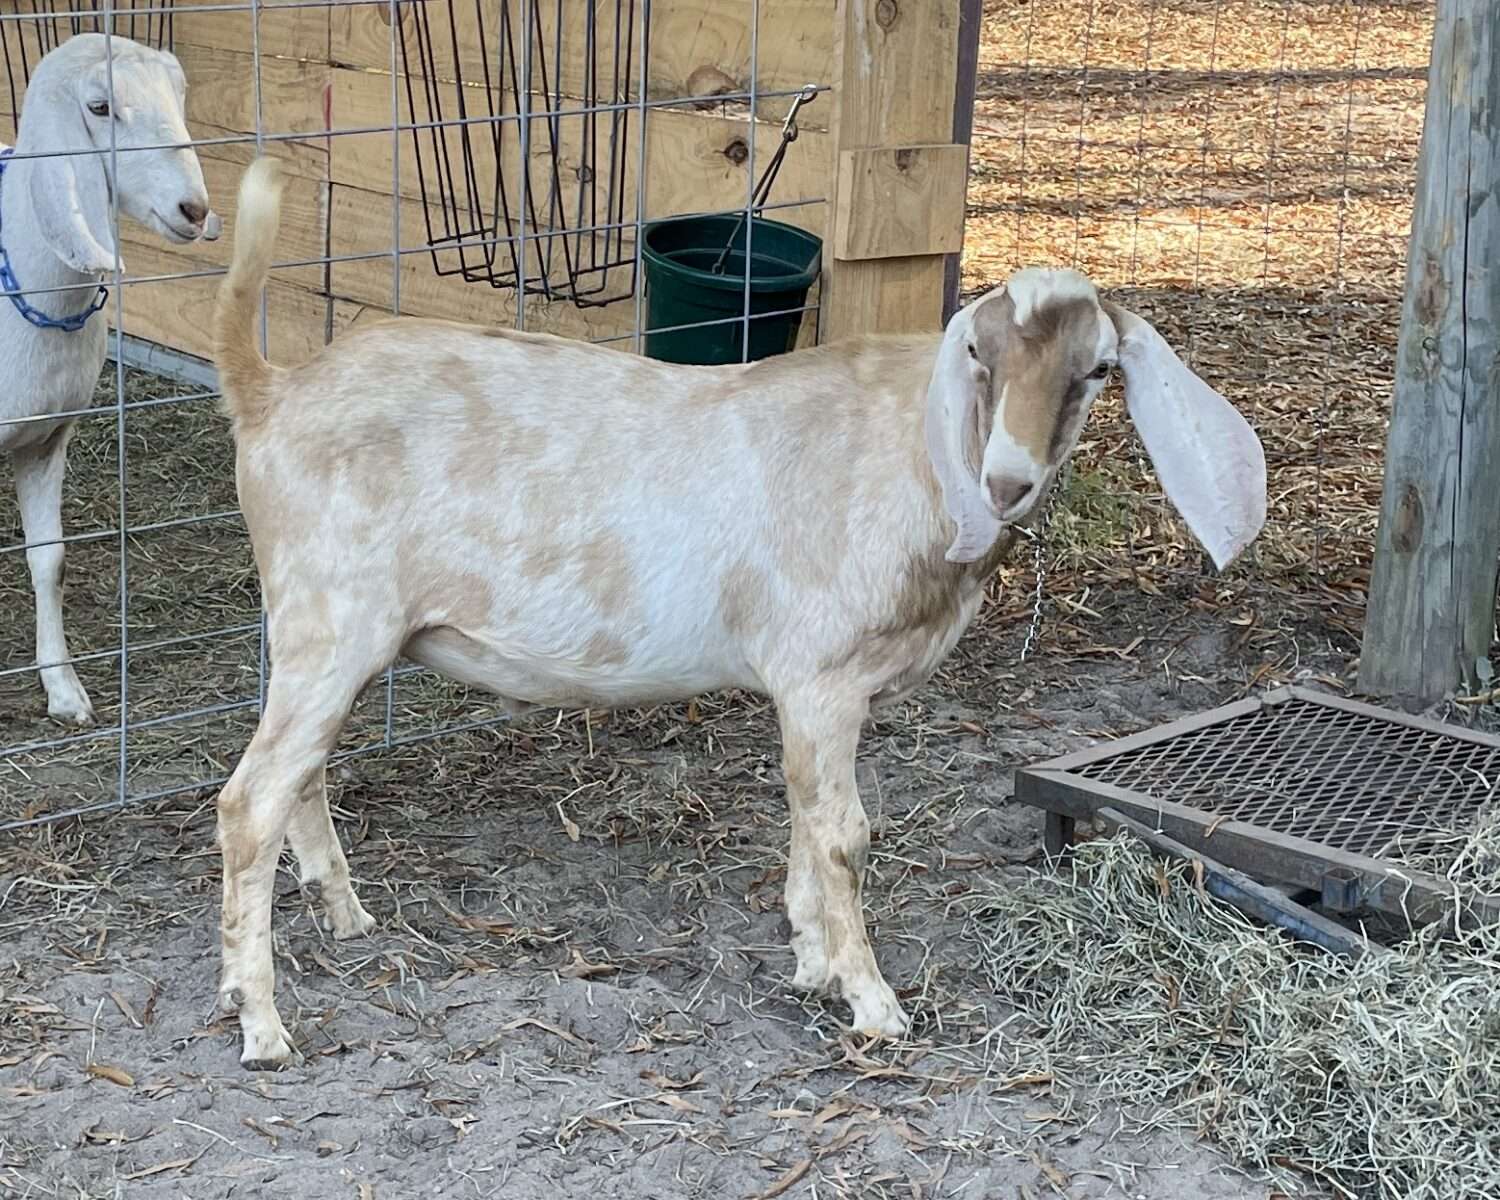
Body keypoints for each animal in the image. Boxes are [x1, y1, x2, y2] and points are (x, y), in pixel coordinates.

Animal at [1, 33, 220, 725]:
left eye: (179, 96)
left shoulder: (47, 438)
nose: (194, 209)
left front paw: (65, 689)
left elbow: (50, 560)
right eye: (99, 107)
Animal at [210, 157, 1266, 1069]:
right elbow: (843, 835)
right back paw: (260, 1023)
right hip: (331, 616)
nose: (1008, 482)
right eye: (978, 351)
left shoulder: (815, 692)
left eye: (1096, 371)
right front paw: (873, 1003)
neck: (909, 456)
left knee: (298, 775)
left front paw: (811, 965)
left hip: (324, 636)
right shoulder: (822, 675)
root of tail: (269, 392)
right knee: (247, 802)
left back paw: (342, 914)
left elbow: (803, 819)